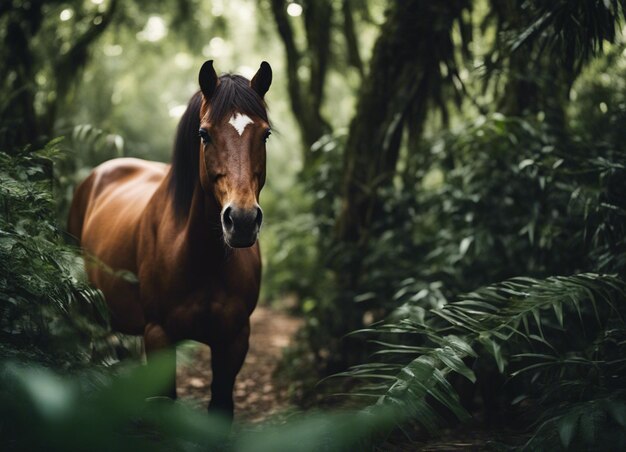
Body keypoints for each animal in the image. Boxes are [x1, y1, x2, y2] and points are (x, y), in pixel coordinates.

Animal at [68, 61, 270, 420]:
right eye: (204, 134)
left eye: (266, 134)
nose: (243, 221)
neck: (201, 258)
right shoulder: (160, 336)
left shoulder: (234, 340)